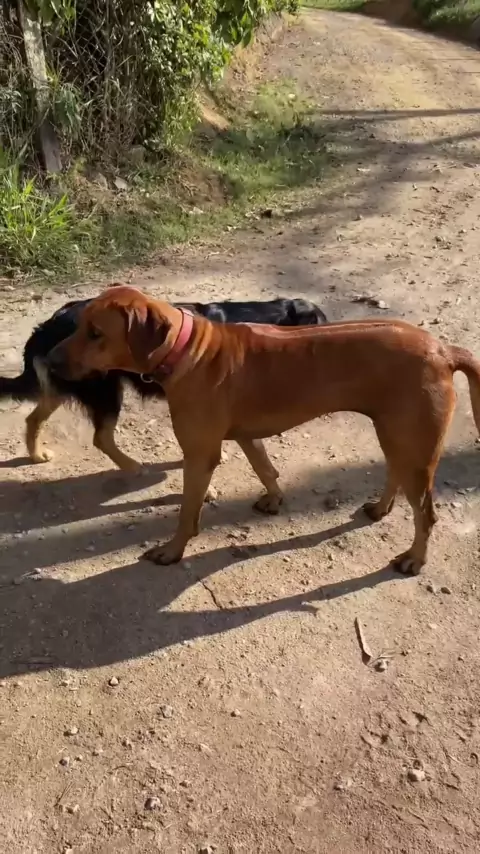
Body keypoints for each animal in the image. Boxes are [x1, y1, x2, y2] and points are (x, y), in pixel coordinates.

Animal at [0, 290, 326, 470]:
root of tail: (49, 323)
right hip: (104, 390)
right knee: (101, 437)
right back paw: (133, 467)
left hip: (66, 385)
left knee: (33, 419)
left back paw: (36, 454)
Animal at [46, 285, 480, 575]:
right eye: (78, 326)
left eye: (96, 333)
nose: (48, 358)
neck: (187, 348)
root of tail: (444, 351)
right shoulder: (244, 434)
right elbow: (264, 467)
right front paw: (273, 497)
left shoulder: (200, 455)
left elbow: (187, 512)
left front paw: (172, 550)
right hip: (394, 431)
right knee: (395, 473)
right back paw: (379, 508)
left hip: (416, 444)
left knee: (426, 513)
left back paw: (415, 559)